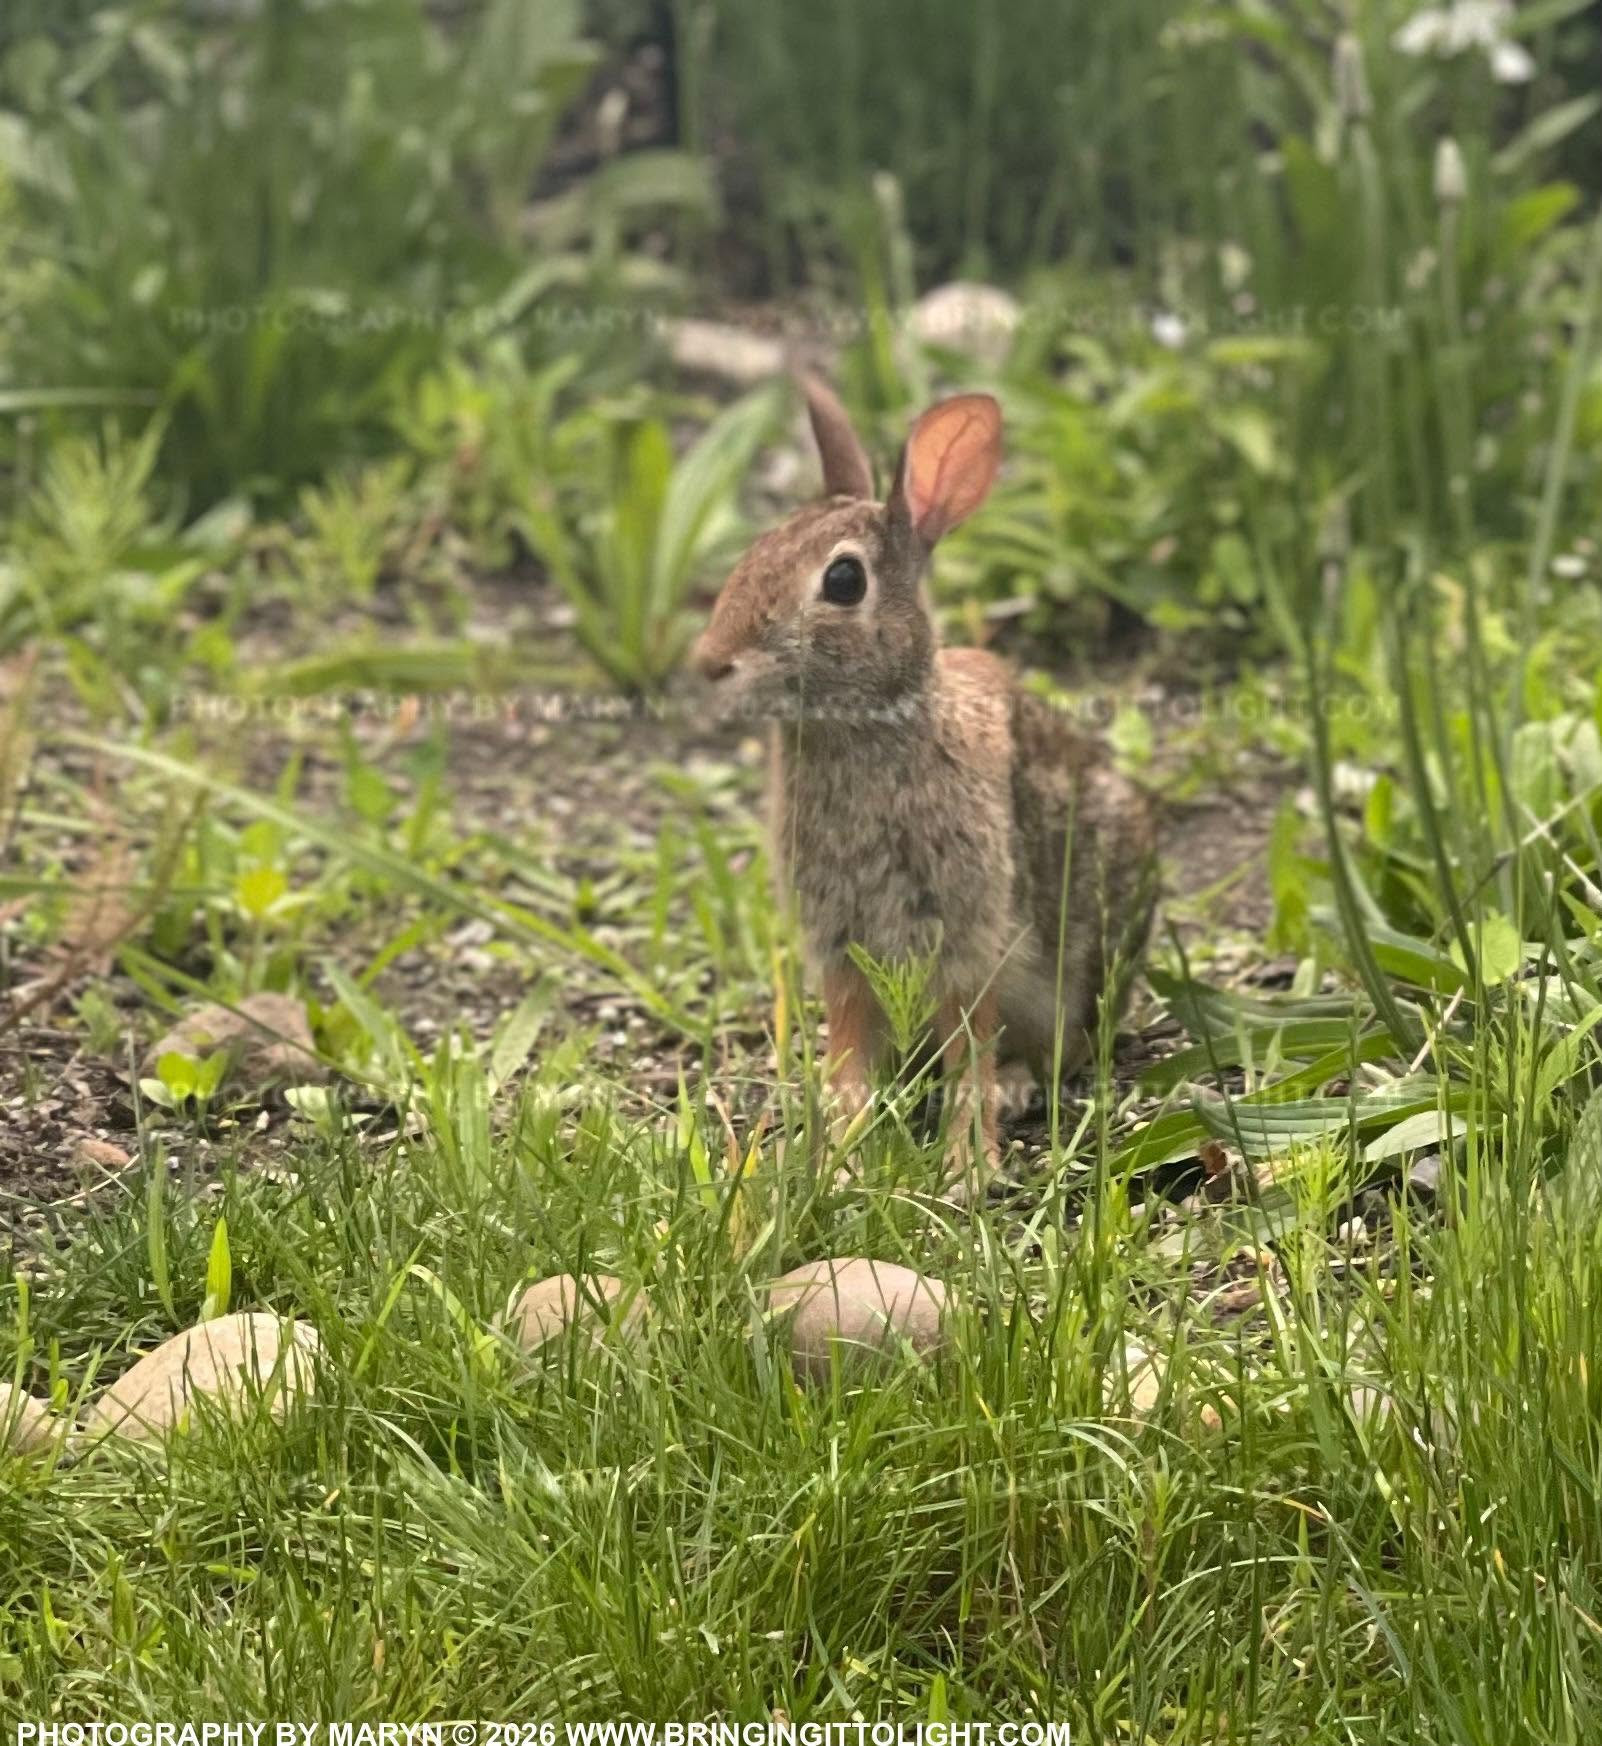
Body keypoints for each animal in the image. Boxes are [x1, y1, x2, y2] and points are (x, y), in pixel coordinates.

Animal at [691, 375, 1157, 1189]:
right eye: (758, 547)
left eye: (844, 580)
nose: (712, 660)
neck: (868, 726)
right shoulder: (842, 950)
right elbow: (848, 1059)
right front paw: (835, 1162)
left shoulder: (966, 937)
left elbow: (969, 1047)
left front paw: (968, 1169)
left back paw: (1018, 1085)